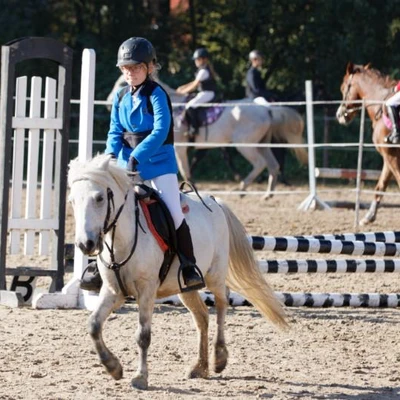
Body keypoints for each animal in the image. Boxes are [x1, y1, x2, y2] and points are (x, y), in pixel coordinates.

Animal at [68, 154, 288, 390]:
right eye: (72, 200)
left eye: (99, 198)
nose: (85, 245)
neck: (122, 240)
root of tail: (216, 202)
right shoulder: (113, 291)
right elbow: (93, 325)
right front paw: (113, 367)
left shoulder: (146, 290)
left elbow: (143, 335)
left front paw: (140, 377)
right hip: (185, 288)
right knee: (202, 316)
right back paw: (200, 367)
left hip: (215, 276)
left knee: (221, 305)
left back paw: (219, 358)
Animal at [336, 61, 398, 225]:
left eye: (343, 88)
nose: (339, 115)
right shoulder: (388, 158)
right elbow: (380, 186)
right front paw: (369, 217)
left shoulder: (391, 156)